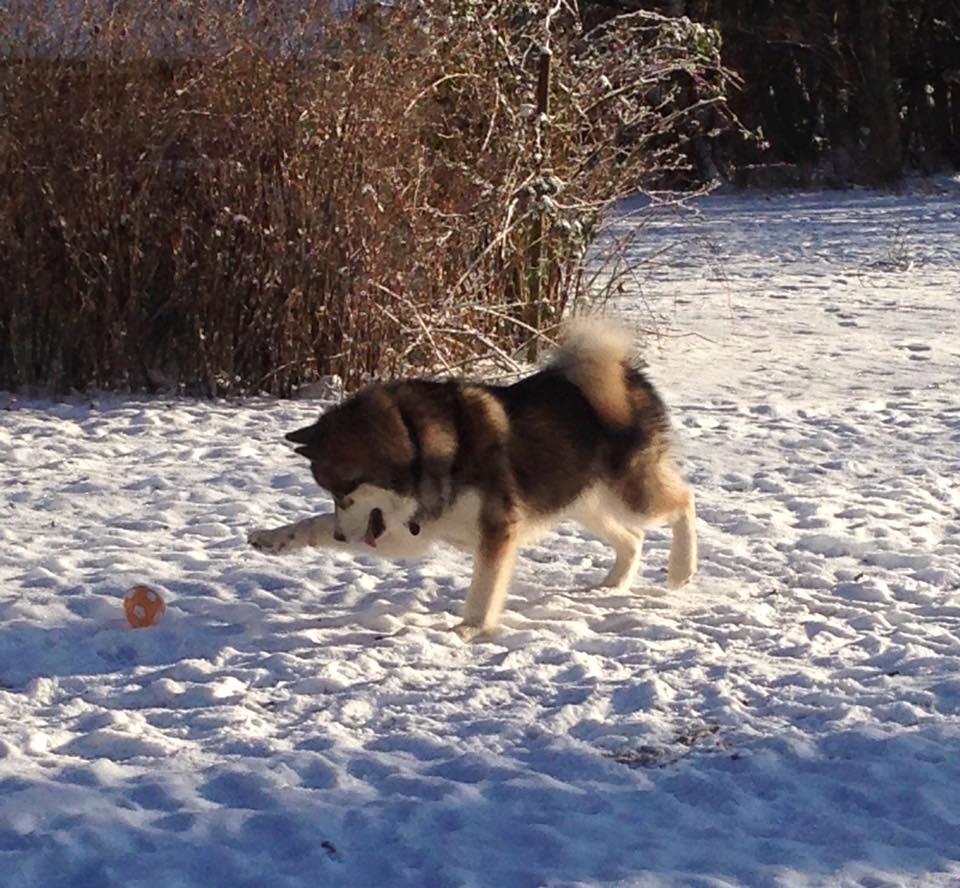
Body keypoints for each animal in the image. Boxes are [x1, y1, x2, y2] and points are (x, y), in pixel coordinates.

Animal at [248, 322, 696, 640]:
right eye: (330, 494)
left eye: (345, 492)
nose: (344, 537)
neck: (419, 445)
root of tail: (625, 375)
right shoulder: (413, 533)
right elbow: (313, 525)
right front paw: (273, 537)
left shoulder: (498, 527)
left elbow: (484, 587)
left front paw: (469, 629)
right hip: (581, 501)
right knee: (633, 538)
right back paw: (612, 585)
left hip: (629, 493)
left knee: (684, 501)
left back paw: (681, 568)